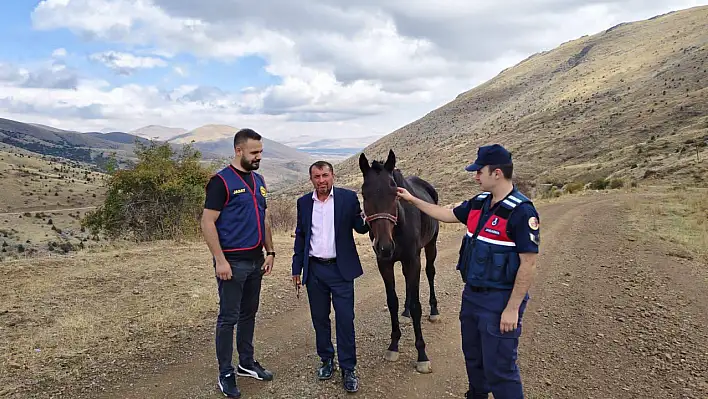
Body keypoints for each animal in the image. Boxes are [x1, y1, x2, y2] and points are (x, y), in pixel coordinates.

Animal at [362, 150, 440, 376]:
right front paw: (393, 345)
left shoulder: (412, 260)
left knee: (430, 272)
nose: (385, 247)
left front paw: (422, 355)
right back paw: (405, 312)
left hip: (430, 246)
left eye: (395, 193)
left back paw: (434, 311)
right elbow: (392, 301)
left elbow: (417, 306)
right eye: (364, 194)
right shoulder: (385, 264)